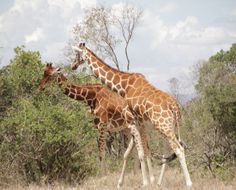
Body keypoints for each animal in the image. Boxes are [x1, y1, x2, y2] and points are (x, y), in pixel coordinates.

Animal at [71, 43, 193, 187]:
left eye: (77, 54)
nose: (72, 65)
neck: (124, 86)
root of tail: (175, 107)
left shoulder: (132, 122)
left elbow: (140, 153)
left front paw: (145, 183)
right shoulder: (141, 124)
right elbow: (145, 151)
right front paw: (150, 182)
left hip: (163, 126)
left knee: (179, 149)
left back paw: (189, 184)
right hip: (170, 126)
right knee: (169, 150)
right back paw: (159, 183)